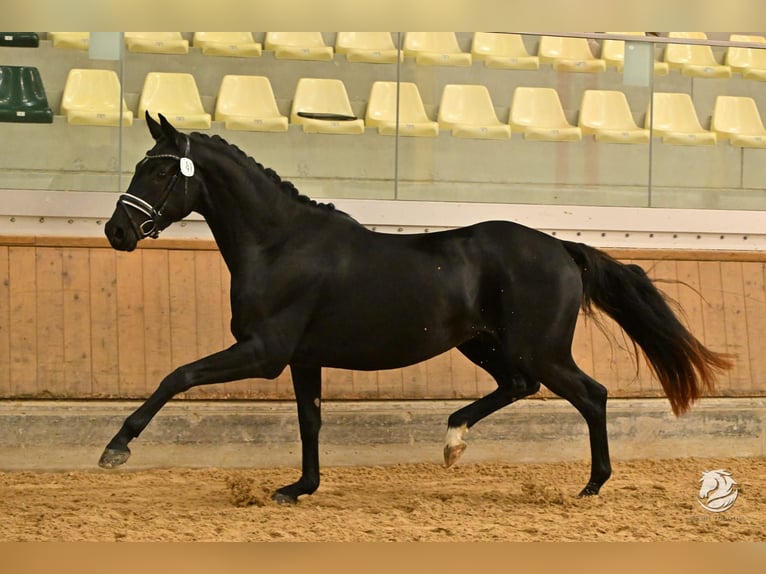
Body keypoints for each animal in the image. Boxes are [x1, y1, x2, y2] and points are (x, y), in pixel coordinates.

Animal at [100, 112, 733, 504]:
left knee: (590, 395)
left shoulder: (263, 352)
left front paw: (116, 448)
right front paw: (299, 488)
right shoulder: (303, 358)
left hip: (540, 349)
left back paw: (590, 485)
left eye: (161, 169)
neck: (279, 244)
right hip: (484, 343)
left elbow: (178, 375)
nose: (116, 231)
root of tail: (559, 247)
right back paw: (453, 442)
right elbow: (310, 421)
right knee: (519, 386)